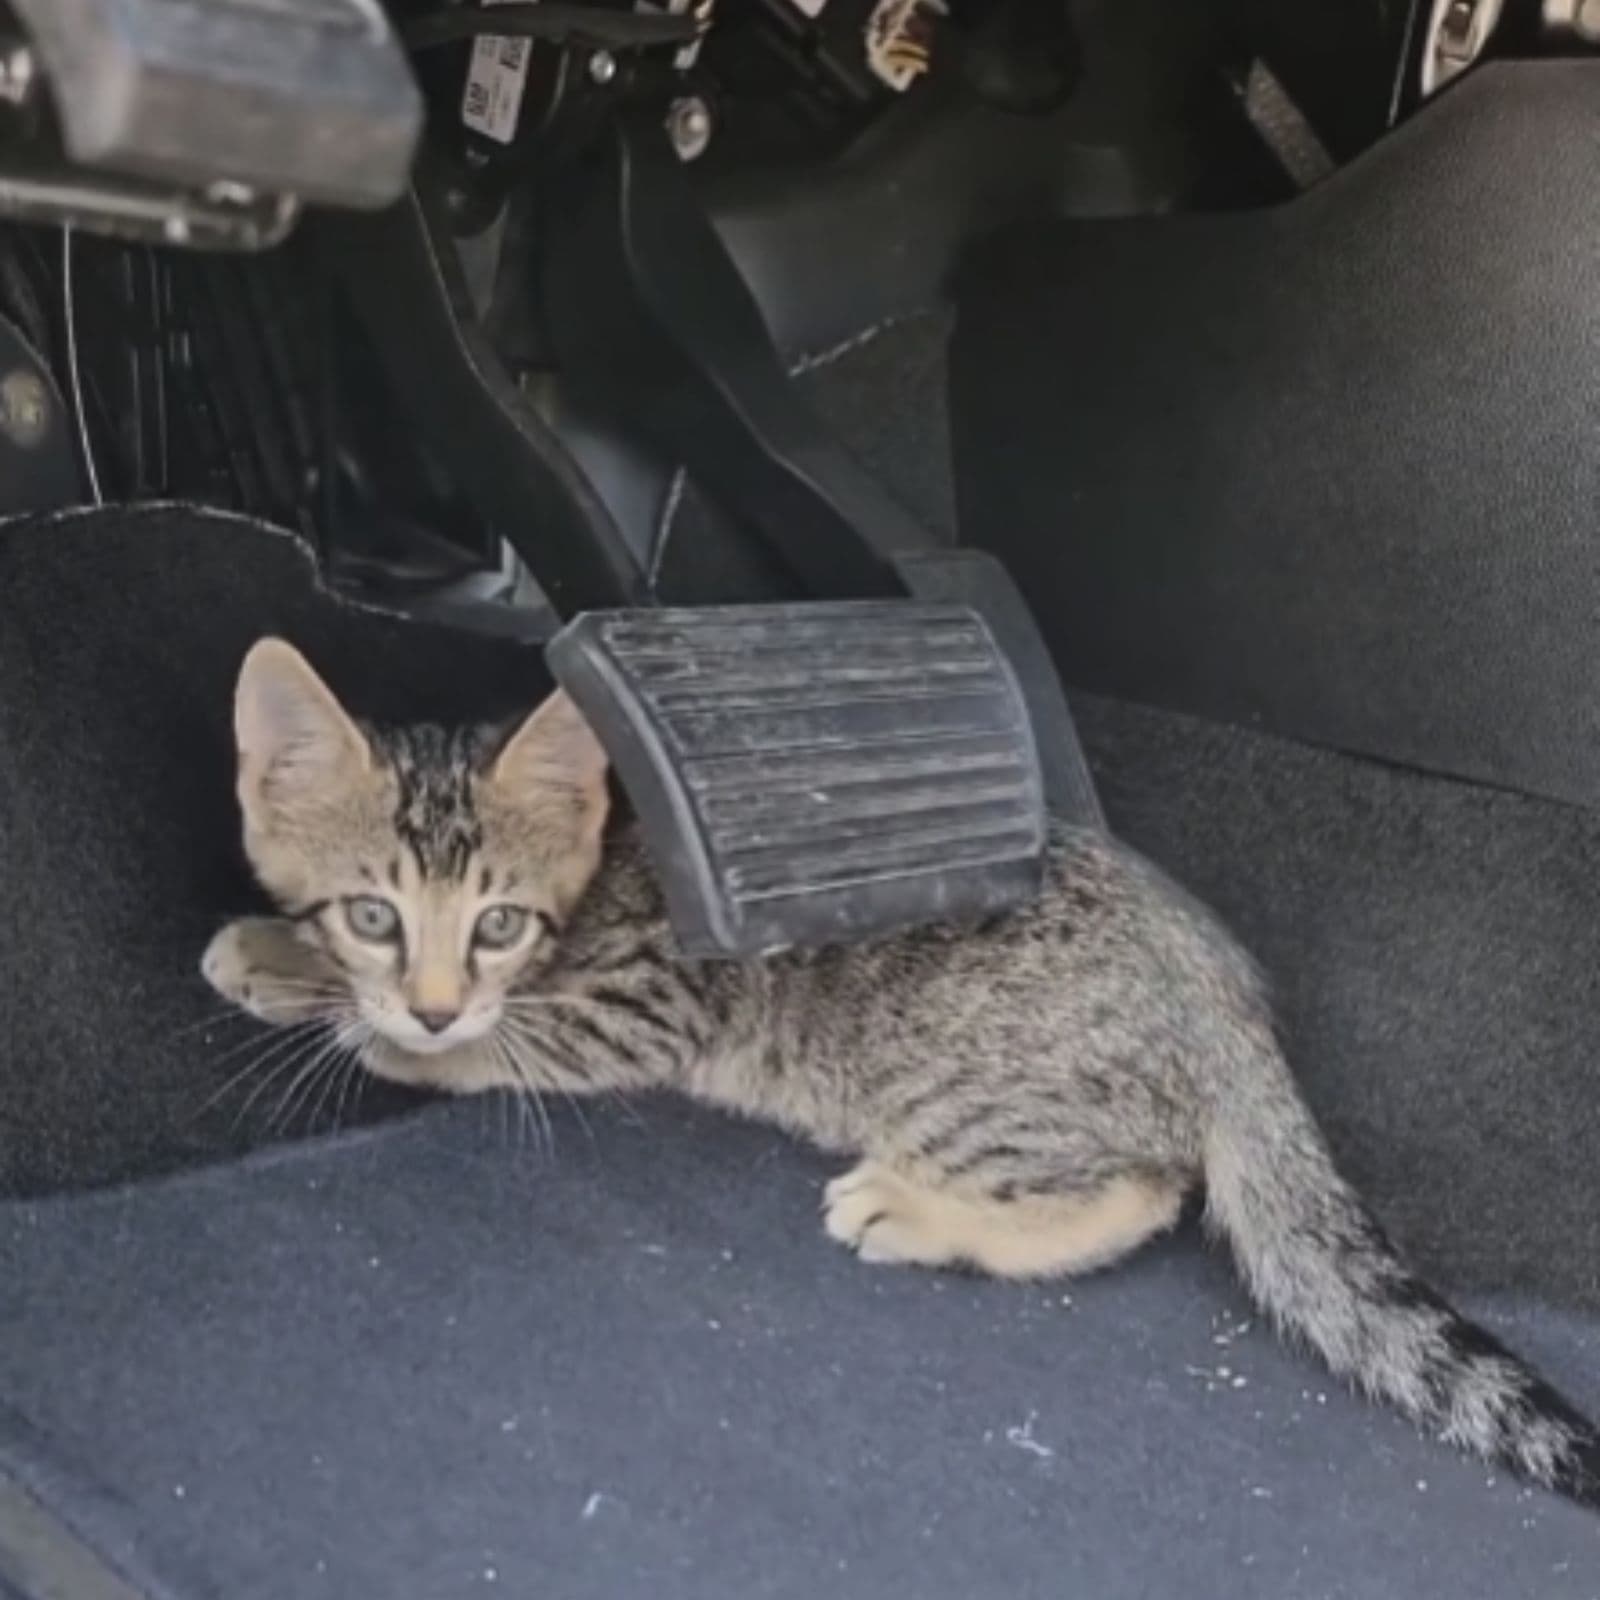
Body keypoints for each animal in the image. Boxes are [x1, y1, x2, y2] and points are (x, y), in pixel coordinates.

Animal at [206, 640, 1593, 1510]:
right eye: (373, 913)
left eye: (496, 923)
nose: (431, 994)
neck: (602, 860)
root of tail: (1227, 1009)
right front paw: (281, 953)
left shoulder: (629, 1007)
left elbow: (485, 1042)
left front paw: (361, 1019)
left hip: (958, 1088)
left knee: (1143, 1189)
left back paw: (913, 1209)